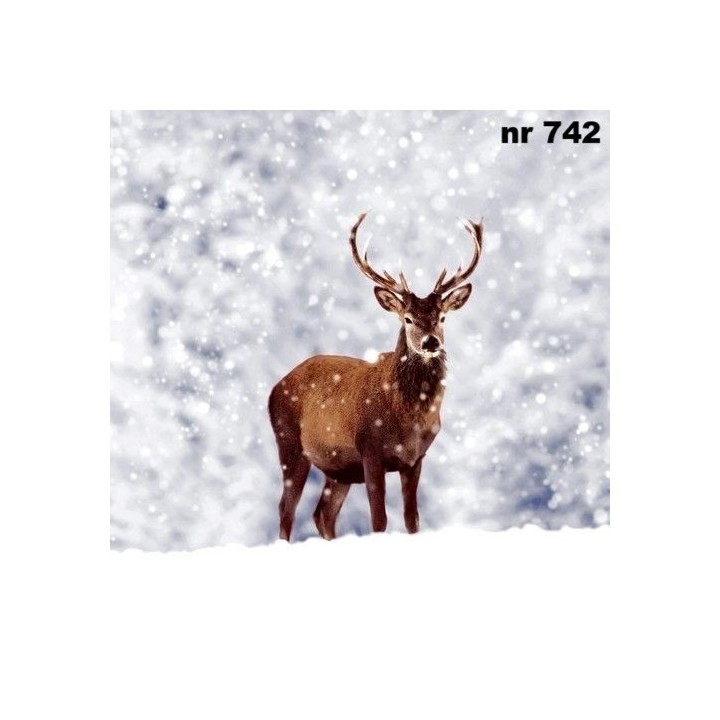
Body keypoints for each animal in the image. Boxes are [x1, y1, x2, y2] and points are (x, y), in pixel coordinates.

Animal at [268, 212, 484, 541]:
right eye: (407, 319)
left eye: (442, 317)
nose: (430, 342)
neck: (409, 420)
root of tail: (274, 388)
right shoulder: (370, 450)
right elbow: (379, 520)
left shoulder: (415, 459)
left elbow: (412, 520)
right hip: (290, 443)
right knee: (285, 509)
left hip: (339, 469)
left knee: (322, 514)